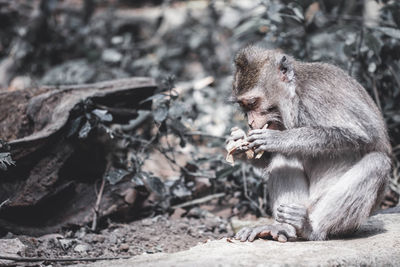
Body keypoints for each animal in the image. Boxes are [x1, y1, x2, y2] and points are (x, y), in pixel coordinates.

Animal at [227, 45, 392, 243]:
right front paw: (239, 147)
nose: (250, 123)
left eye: (252, 103)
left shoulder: (318, 94)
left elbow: (363, 134)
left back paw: (311, 228)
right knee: (283, 158)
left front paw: (278, 139)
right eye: (244, 107)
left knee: (377, 162)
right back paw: (284, 227)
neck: (296, 95)